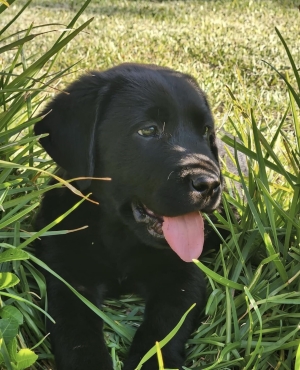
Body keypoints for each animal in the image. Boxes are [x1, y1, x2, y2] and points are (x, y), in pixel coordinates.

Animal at [34, 64, 224, 370]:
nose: (209, 184)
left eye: (206, 131)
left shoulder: (183, 276)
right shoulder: (66, 276)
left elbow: (163, 329)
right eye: (148, 130)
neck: (119, 235)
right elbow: (77, 336)